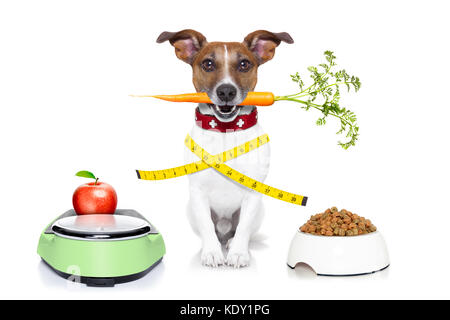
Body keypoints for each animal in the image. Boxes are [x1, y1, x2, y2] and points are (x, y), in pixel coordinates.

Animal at [156, 28, 294, 268]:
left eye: (244, 64)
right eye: (208, 64)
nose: (226, 91)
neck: (226, 132)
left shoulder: (253, 193)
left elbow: (244, 227)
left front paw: (238, 253)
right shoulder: (198, 192)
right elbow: (206, 225)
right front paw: (211, 252)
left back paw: (230, 244)